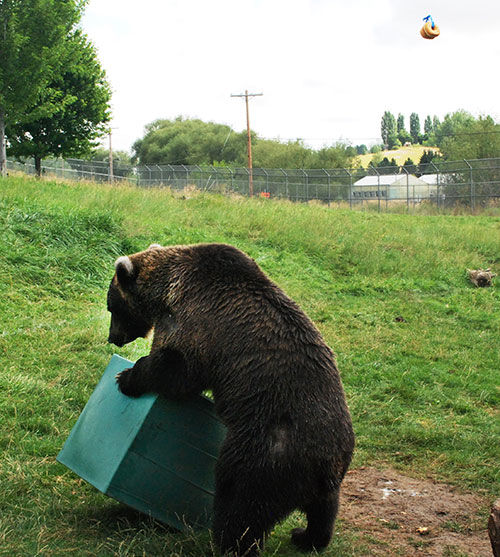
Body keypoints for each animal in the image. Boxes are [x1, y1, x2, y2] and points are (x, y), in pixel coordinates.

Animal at [106, 243, 356, 556]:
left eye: (112, 306)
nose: (113, 337)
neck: (166, 292)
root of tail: (325, 462)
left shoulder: (195, 324)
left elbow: (176, 368)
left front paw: (127, 377)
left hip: (266, 451)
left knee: (240, 502)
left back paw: (227, 544)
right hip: (326, 470)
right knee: (324, 509)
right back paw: (306, 536)